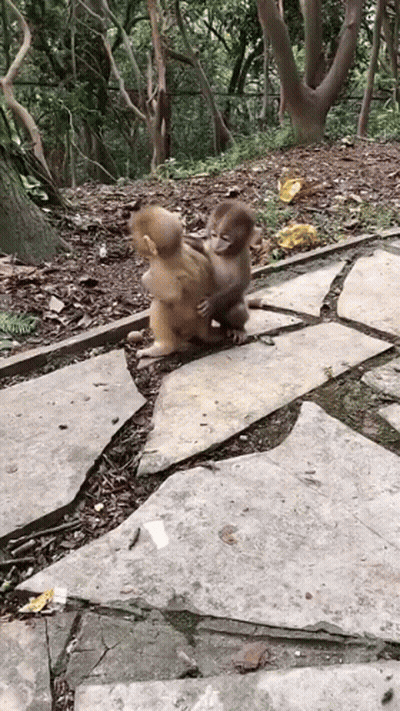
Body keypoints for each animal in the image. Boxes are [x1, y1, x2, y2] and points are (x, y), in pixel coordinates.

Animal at [128, 206, 222, 358]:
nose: (134, 244)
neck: (175, 253)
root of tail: (202, 329)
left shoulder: (159, 267)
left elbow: (172, 294)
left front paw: (145, 279)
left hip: (186, 324)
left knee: (160, 304)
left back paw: (163, 347)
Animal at [194, 200, 260, 344]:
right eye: (214, 235)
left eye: (225, 238)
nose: (217, 245)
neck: (226, 254)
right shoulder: (209, 247)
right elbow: (201, 247)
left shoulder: (243, 256)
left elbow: (240, 284)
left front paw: (212, 302)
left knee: (238, 309)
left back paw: (237, 329)